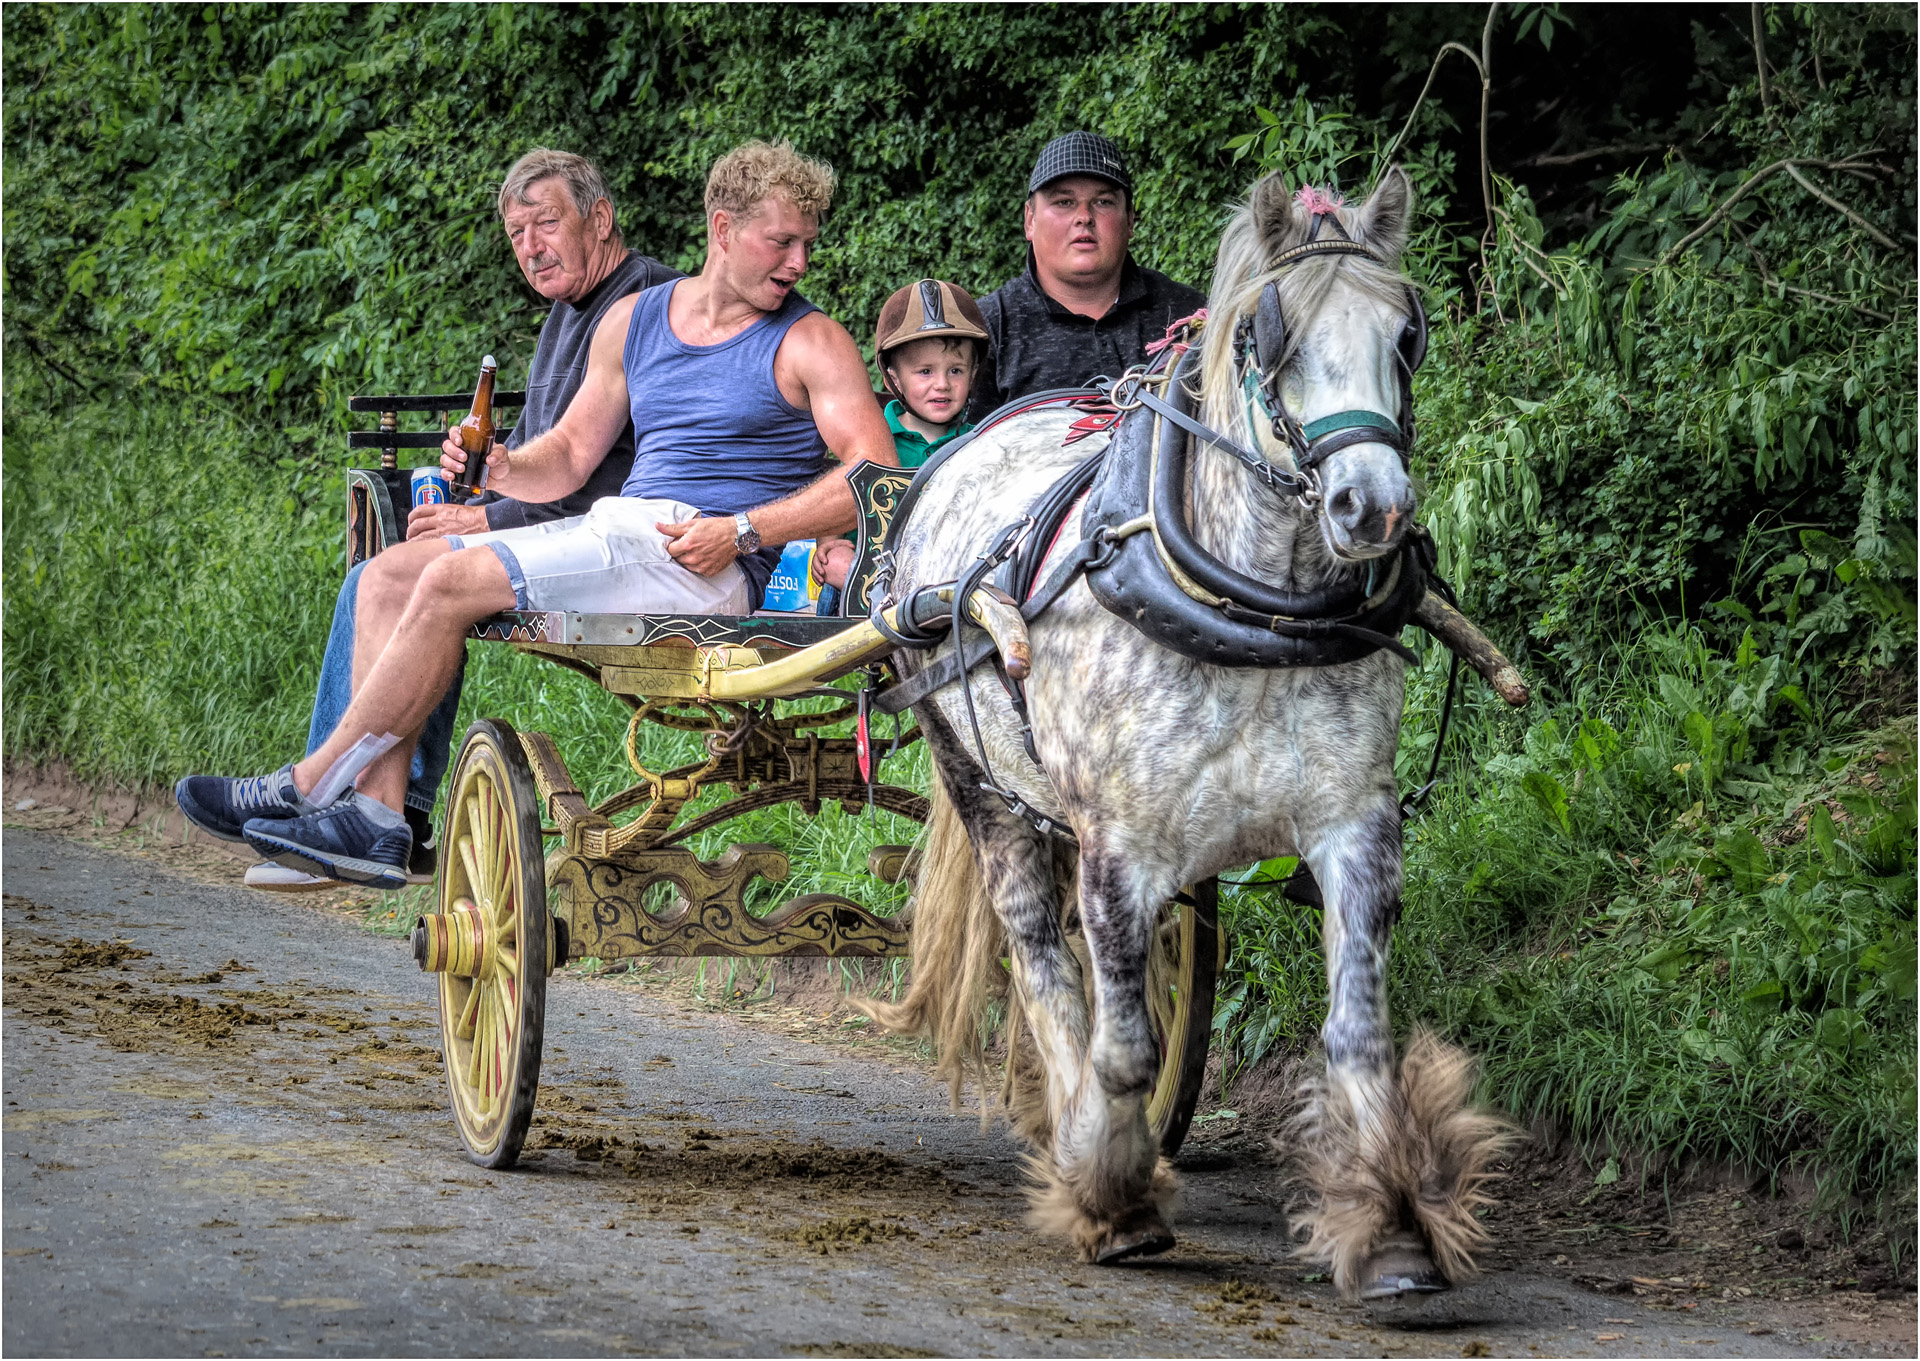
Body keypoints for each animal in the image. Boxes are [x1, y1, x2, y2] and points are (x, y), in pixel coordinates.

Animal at [871, 169, 1512, 1297]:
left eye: (1408, 332)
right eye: (1270, 335)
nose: (1373, 507)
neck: (1257, 607)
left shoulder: (1356, 826)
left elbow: (1356, 1032)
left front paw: (1392, 1222)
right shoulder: (1119, 848)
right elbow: (1123, 1046)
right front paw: (1110, 1190)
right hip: (983, 786)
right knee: (1041, 959)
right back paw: (1075, 1132)